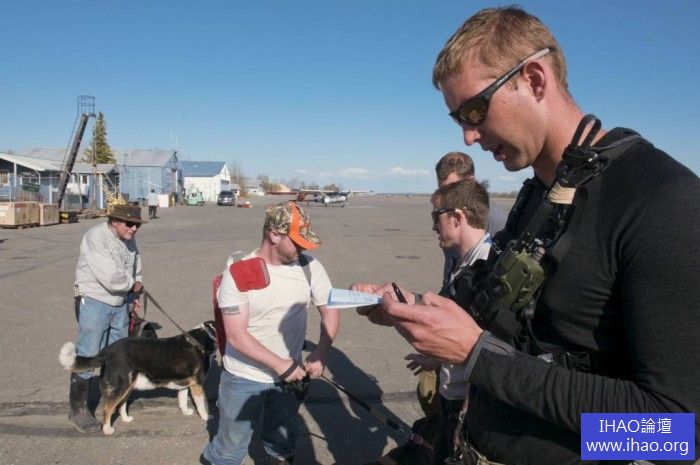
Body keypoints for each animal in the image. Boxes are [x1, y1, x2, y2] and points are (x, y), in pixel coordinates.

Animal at [59, 321, 217, 435]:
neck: (204, 338)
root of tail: (107, 351)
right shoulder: (197, 384)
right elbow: (201, 405)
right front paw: (206, 417)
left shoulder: (185, 383)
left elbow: (183, 400)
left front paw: (187, 412)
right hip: (121, 386)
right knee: (107, 408)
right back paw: (107, 430)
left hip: (128, 386)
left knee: (121, 405)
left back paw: (126, 419)